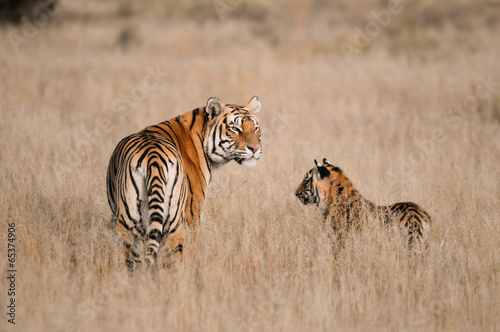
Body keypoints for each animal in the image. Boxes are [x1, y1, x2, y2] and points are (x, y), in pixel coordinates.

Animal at [105, 96, 262, 270]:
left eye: (255, 128)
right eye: (235, 128)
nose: (255, 149)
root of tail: (154, 159)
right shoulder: (193, 217)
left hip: (128, 223)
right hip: (176, 224)